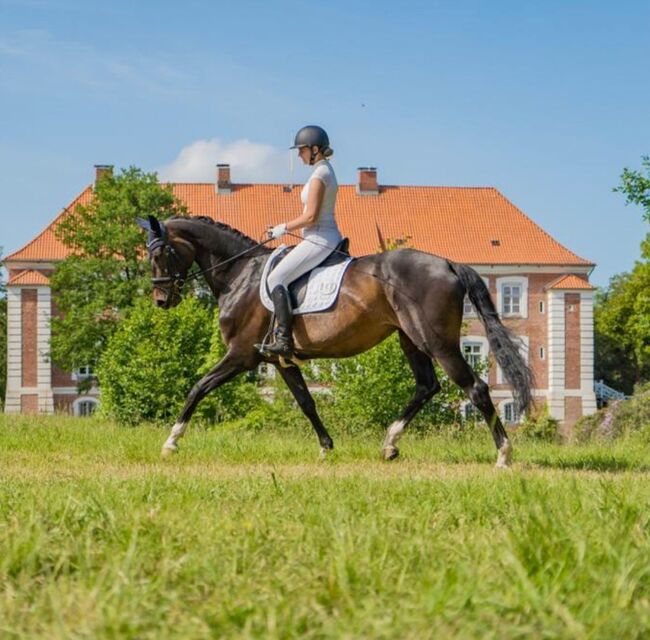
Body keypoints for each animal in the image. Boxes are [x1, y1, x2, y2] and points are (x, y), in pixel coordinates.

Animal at [137, 212, 532, 468]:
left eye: (158, 253)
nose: (161, 301)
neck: (240, 274)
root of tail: (448, 263)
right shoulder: (280, 360)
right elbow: (307, 402)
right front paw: (326, 448)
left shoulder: (241, 355)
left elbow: (198, 387)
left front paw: (171, 442)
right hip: (409, 339)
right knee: (426, 386)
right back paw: (390, 445)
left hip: (437, 342)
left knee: (474, 388)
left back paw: (503, 455)